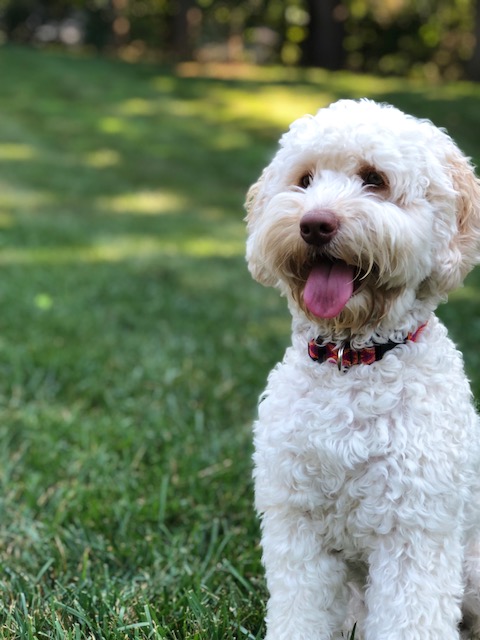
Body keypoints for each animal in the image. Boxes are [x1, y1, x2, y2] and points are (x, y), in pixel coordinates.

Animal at [248, 100, 480, 640]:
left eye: (375, 179)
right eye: (305, 180)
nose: (315, 224)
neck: (350, 363)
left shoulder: (414, 529)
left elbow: (411, 619)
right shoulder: (297, 525)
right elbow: (300, 612)